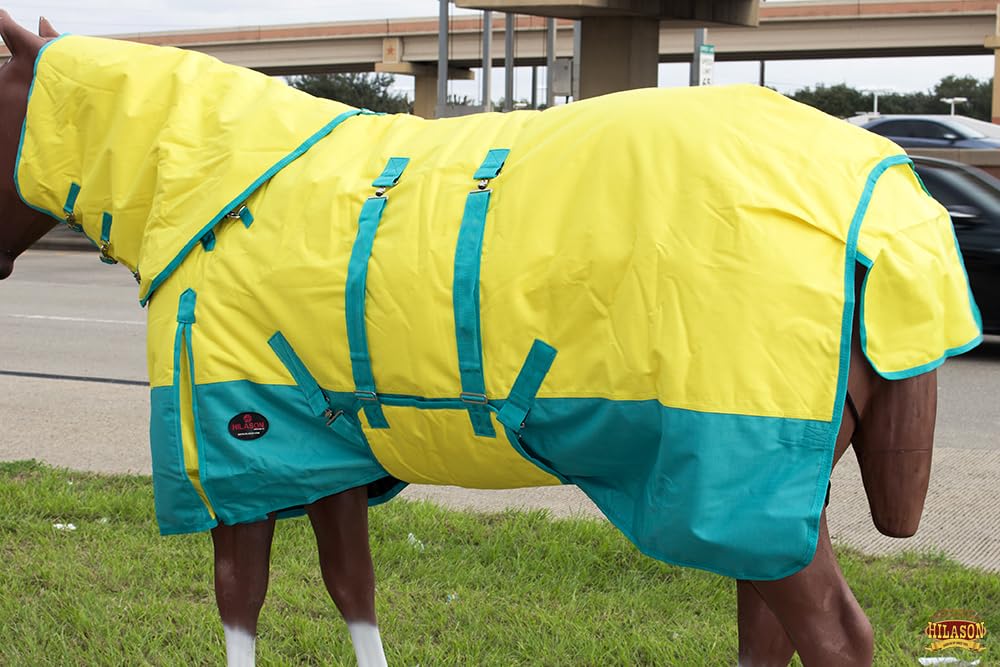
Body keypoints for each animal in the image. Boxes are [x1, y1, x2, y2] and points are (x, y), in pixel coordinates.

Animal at [0, 12, 981, 667]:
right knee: (766, 634)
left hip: (742, 484)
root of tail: (883, 201)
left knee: (834, 636)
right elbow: (352, 585)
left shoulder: (239, 448)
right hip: (781, 498)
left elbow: (240, 597)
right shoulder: (325, 452)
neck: (217, 183)